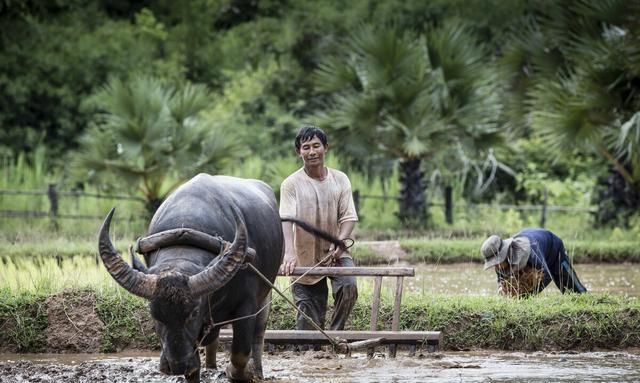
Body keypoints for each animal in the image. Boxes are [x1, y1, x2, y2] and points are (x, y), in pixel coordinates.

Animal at [97, 175, 282, 383]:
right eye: (154, 315)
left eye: (193, 313)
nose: (176, 365)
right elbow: (194, 369)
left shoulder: (246, 305)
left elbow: (240, 354)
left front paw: (240, 373)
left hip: (266, 294)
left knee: (258, 334)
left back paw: (257, 371)